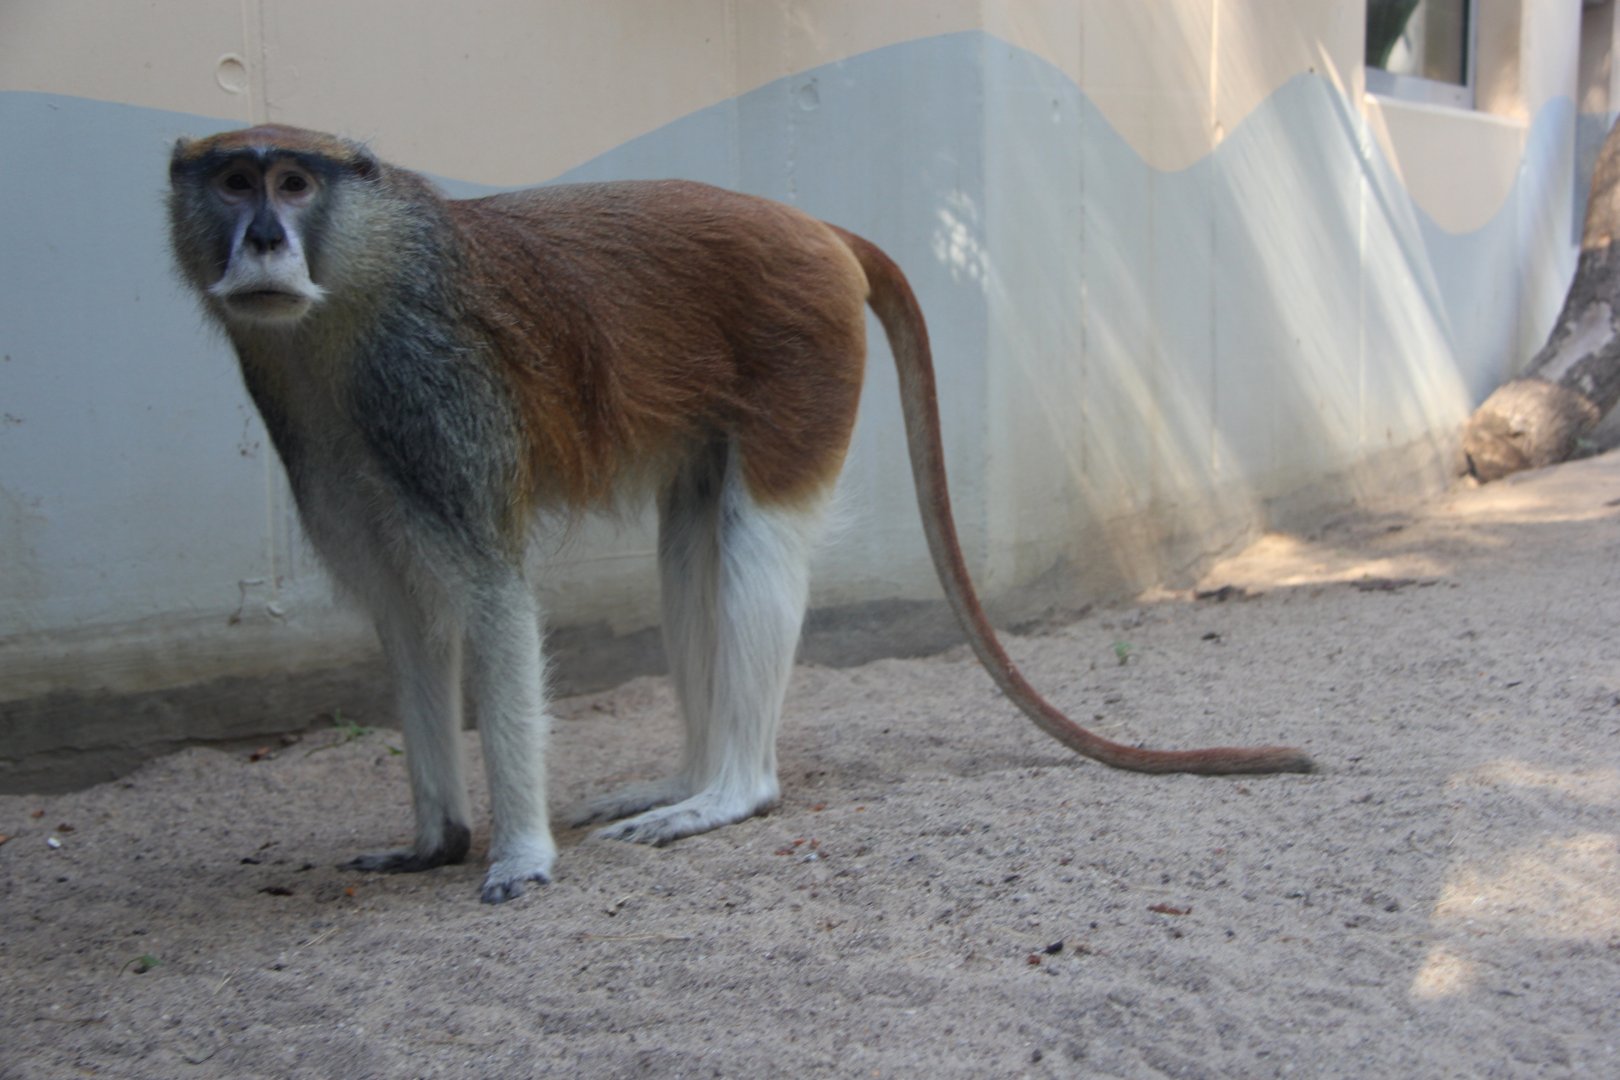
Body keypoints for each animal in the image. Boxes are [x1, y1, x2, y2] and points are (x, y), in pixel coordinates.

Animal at [167, 124, 1312, 903]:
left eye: (293, 182)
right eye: (232, 181)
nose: (262, 238)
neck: (362, 285)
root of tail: (817, 227)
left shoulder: (437, 408)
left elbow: (494, 599)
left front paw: (519, 857)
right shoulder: (327, 435)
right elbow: (407, 622)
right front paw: (431, 841)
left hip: (805, 356)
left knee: (754, 545)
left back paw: (728, 792)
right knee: (688, 545)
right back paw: (682, 775)